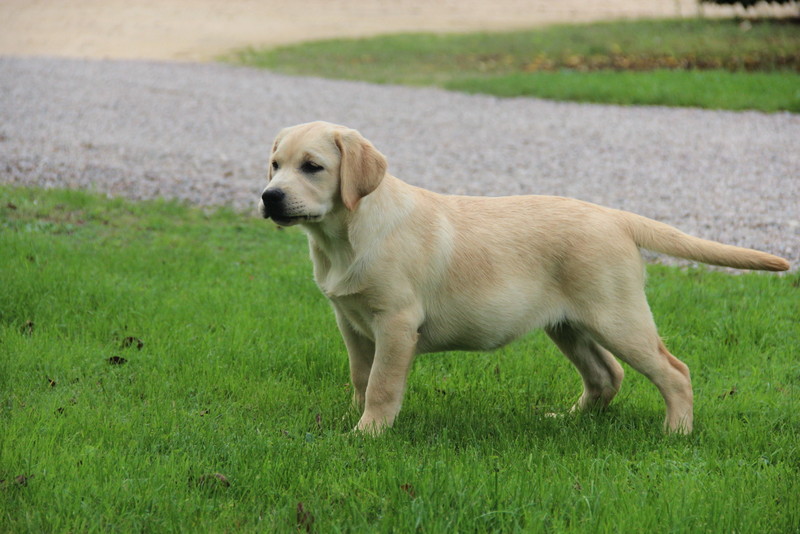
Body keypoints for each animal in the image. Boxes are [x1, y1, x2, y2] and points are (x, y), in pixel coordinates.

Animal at [259, 121, 789, 435]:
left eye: (313, 167)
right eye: (275, 165)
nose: (269, 197)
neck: (344, 236)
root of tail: (616, 216)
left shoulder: (395, 321)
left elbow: (382, 384)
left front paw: (367, 433)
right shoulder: (350, 321)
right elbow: (360, 376)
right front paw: (354, 417)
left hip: (618, 317)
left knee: (674, 372)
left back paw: (675, 432)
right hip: (569, 325)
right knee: (606, 375)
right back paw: (569, 420)